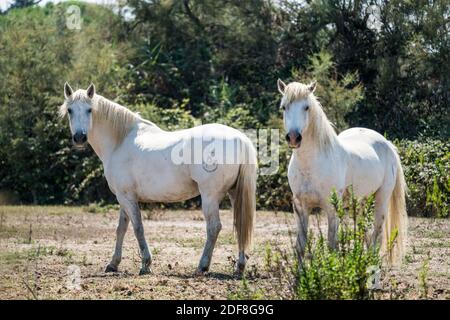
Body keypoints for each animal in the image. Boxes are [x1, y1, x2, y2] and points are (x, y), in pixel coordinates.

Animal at [59, 83, 256, 276]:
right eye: (70, 110)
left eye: (89, 110)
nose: (79, 137)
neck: (120, 141)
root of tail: (240, 139)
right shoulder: (125, 197)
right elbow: (121, 228)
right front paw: (113, 264)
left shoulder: (126, 197)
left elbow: (138, 228)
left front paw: (145, 264)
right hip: (234, 193)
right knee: (240, 225)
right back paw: (240, 267)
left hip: (210, 196)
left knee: (214, 227)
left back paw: (202, 267)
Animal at [278, 79, 408, 264]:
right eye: (284, 107)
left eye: (306, 107)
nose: (294, 138)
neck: (311, 165)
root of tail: (387, 143)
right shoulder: (300, 207)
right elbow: (300, 246)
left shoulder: (332, 208)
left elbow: (332, 245)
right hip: (360, 202)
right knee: (365, 233)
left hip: (381, 198)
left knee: (377, 234)